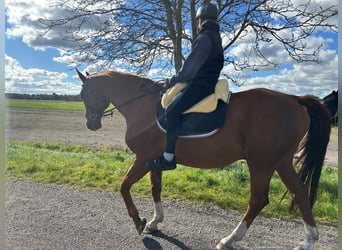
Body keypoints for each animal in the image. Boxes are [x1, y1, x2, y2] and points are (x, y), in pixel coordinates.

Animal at [77, 69, 332, 250]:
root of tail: (294, 98)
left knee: (258, 200)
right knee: (299, 193)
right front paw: (154, 222)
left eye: (84, 94)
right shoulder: (154, 160)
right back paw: (309, 240)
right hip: (281, 162)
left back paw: (230, 240)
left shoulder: (143, 158)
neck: (143, 105)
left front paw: (139, 221)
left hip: (262, 164)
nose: (91, 124)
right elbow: (155, 188)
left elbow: (124, 186)